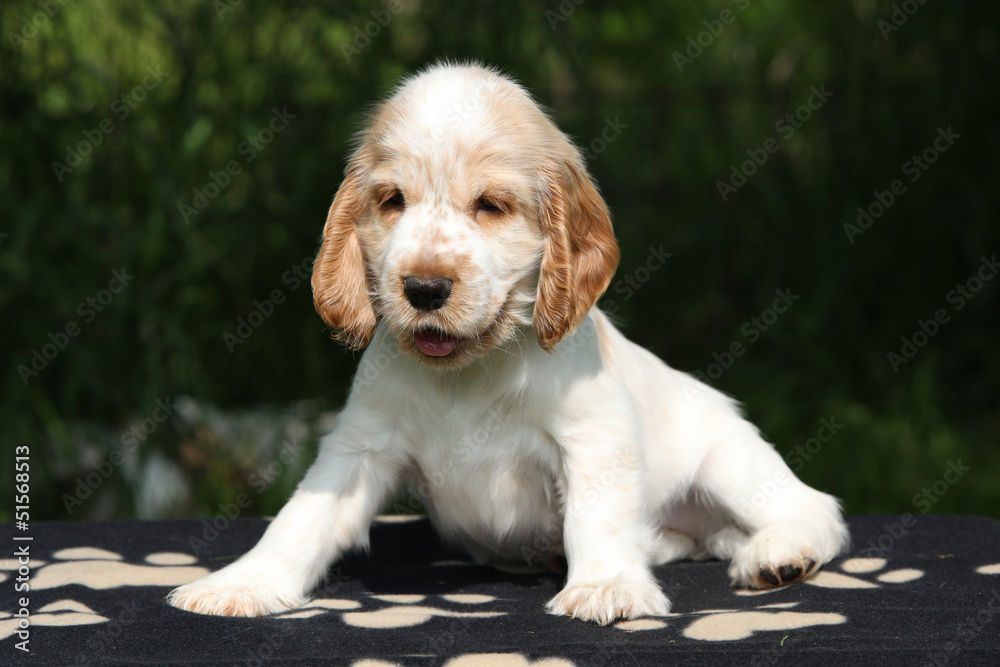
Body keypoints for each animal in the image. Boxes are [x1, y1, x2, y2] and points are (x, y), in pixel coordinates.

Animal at [168, 62, 848, 628]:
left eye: (491, 206)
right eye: (392, 201)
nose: (424, 288)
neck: (470, 372)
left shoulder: (592, 438)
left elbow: (597, 517)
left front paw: (605, 587)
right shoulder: (359, 445)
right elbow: (301, 518)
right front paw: (241, 583)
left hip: (728, 460)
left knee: (815, 509)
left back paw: (777, 554)